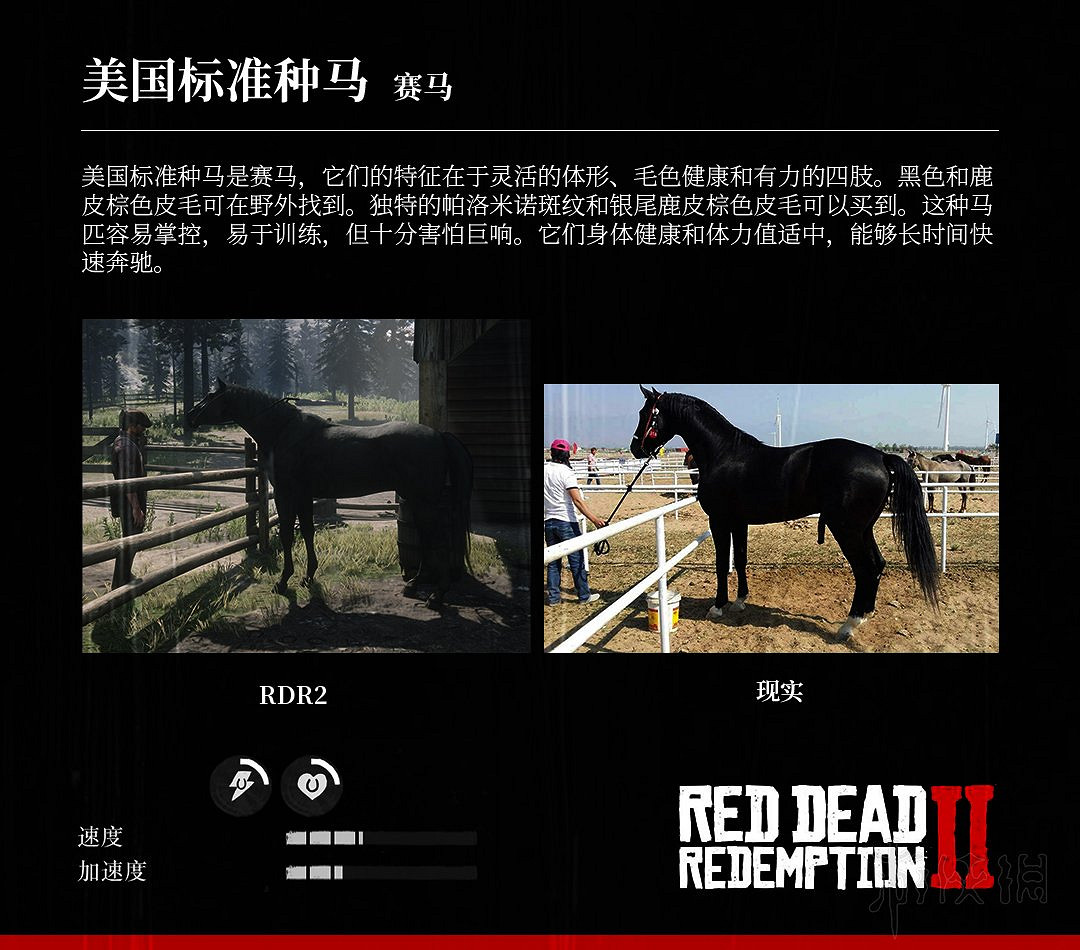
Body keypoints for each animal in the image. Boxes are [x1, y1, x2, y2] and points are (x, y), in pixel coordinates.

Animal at [188, 379, 473, 608]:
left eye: (210, 396)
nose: (189, 415)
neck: (282, 430)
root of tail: (438, 435)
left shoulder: (286, 495)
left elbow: (289, 536)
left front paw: (283, 581)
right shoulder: (304, 496)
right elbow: (307, 532)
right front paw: (308, 576)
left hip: (424, 501)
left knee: (437, 539)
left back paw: (437, 594)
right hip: (416, 500)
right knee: (426, 538)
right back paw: (414, 584)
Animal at [629, 386, 939, 641]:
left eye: (645, 413)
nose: (635, 448)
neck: (724, 454)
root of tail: (881, 457)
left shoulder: (719, 521)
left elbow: (720, 563)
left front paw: (718, 607)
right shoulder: (739, 523)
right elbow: (740, 559)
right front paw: (740, 601)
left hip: (847, 530)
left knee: (865, 569)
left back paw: (849, 625)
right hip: (864, 529)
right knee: (877, 565)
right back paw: (865, 615)